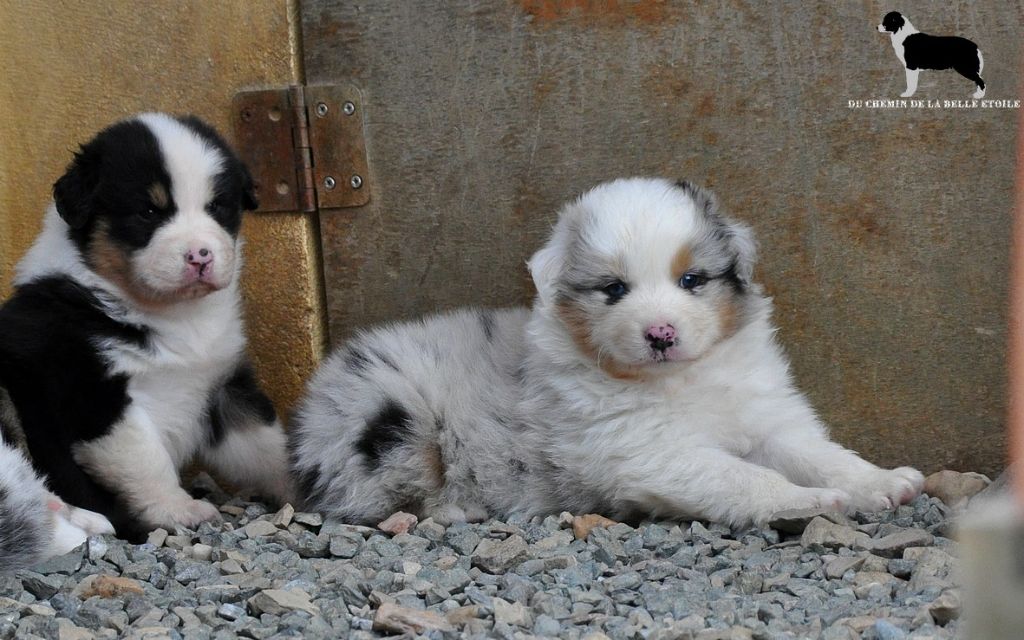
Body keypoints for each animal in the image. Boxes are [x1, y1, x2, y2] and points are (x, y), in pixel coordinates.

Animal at [0, 113, 292, 552]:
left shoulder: (223, 385)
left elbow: (266, 443)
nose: (200, 256)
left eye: (216, 207)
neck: (173, 314)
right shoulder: (95, 395)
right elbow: (146, 460)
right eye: (149, 211)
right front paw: (179, 510)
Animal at [288, 177, 924, 528]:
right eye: (614, 289)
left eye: (692, 280)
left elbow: (819, 453)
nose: (661, 333)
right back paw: (453, 508)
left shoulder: (766, 418)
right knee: (365, 497)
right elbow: (742, 477)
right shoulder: (648, 451)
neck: (679, 381)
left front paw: (884, 482)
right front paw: (811, 500)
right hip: (387, 415)